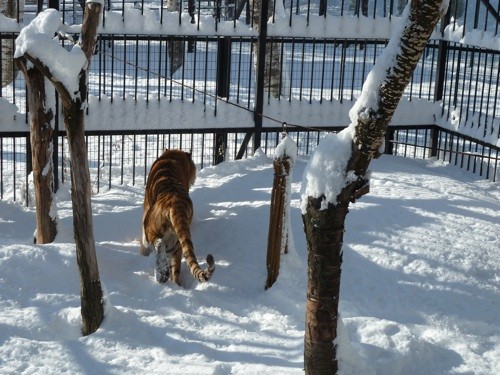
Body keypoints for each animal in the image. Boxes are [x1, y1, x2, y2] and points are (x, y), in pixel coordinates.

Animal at [139, 150, 215, 284]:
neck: (172, 157)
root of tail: (175, 204)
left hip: (152, 229)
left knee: (159, 244)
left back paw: (161, 274)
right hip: (177, 241)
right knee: (175, 269)